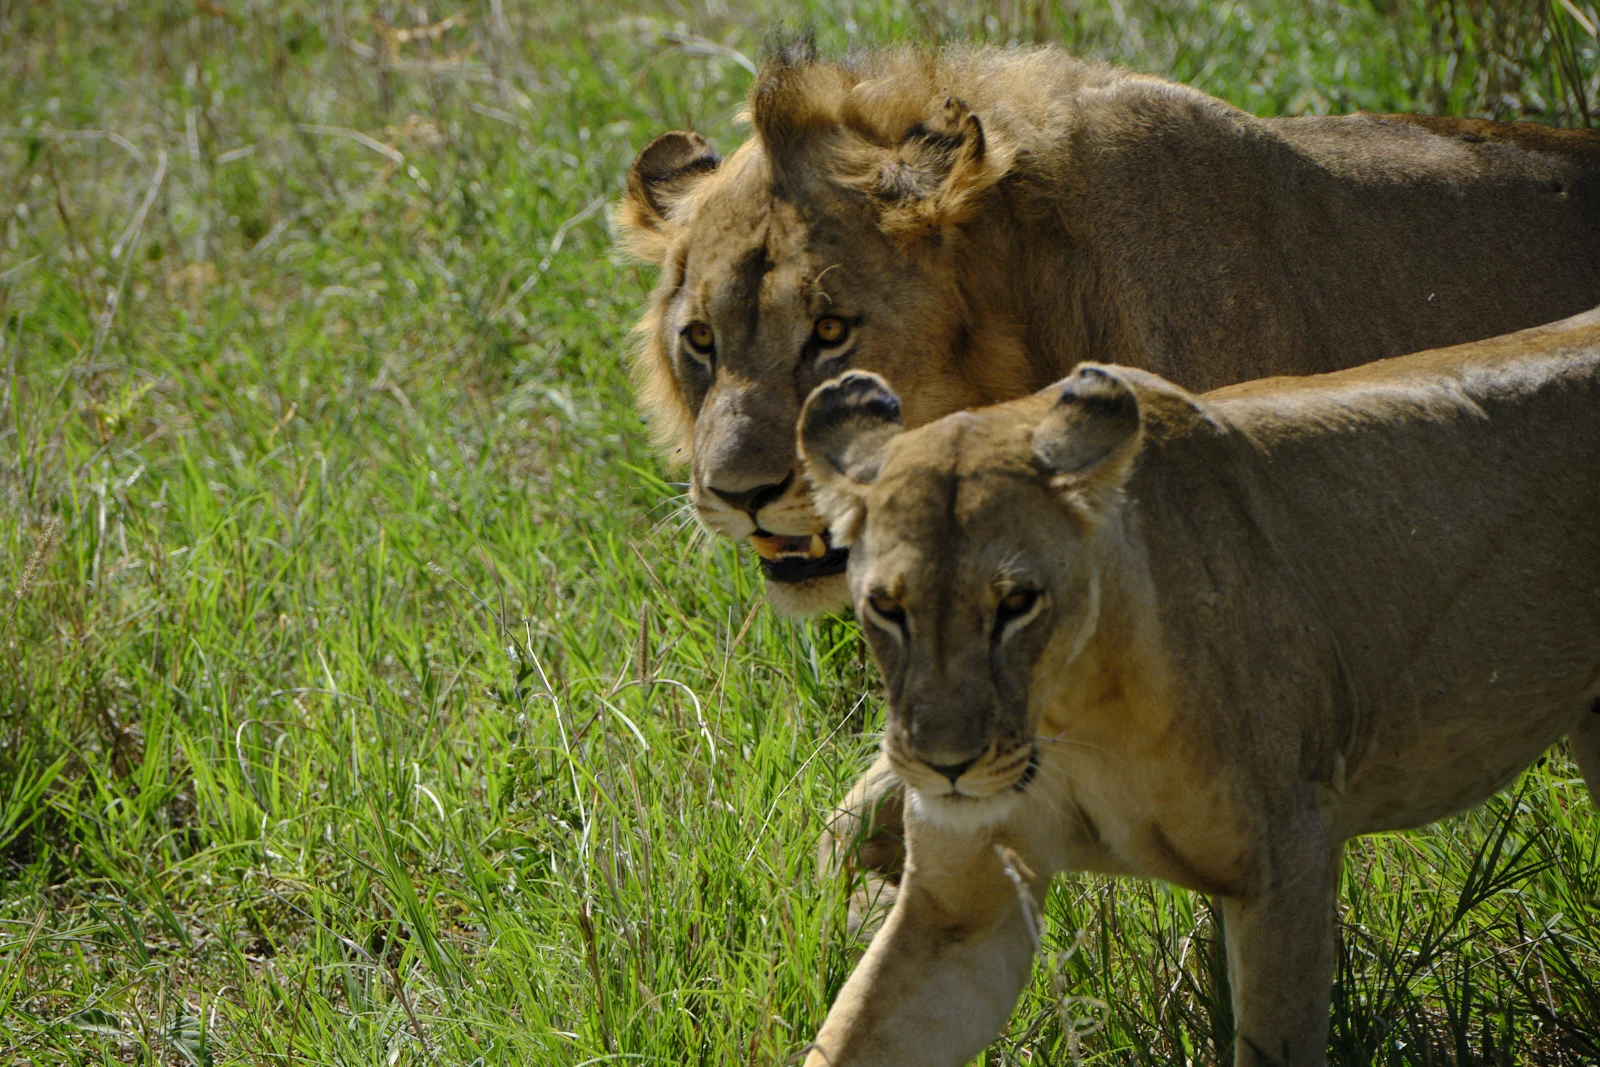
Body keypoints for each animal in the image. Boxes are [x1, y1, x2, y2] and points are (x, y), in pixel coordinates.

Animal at [793, 307, 1600, 1067]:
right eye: (887, 607)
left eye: (1017, 602)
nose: (945, 766)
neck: (1072, 706)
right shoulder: (959, 912)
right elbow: (850, 1035)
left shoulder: (1285, 868)